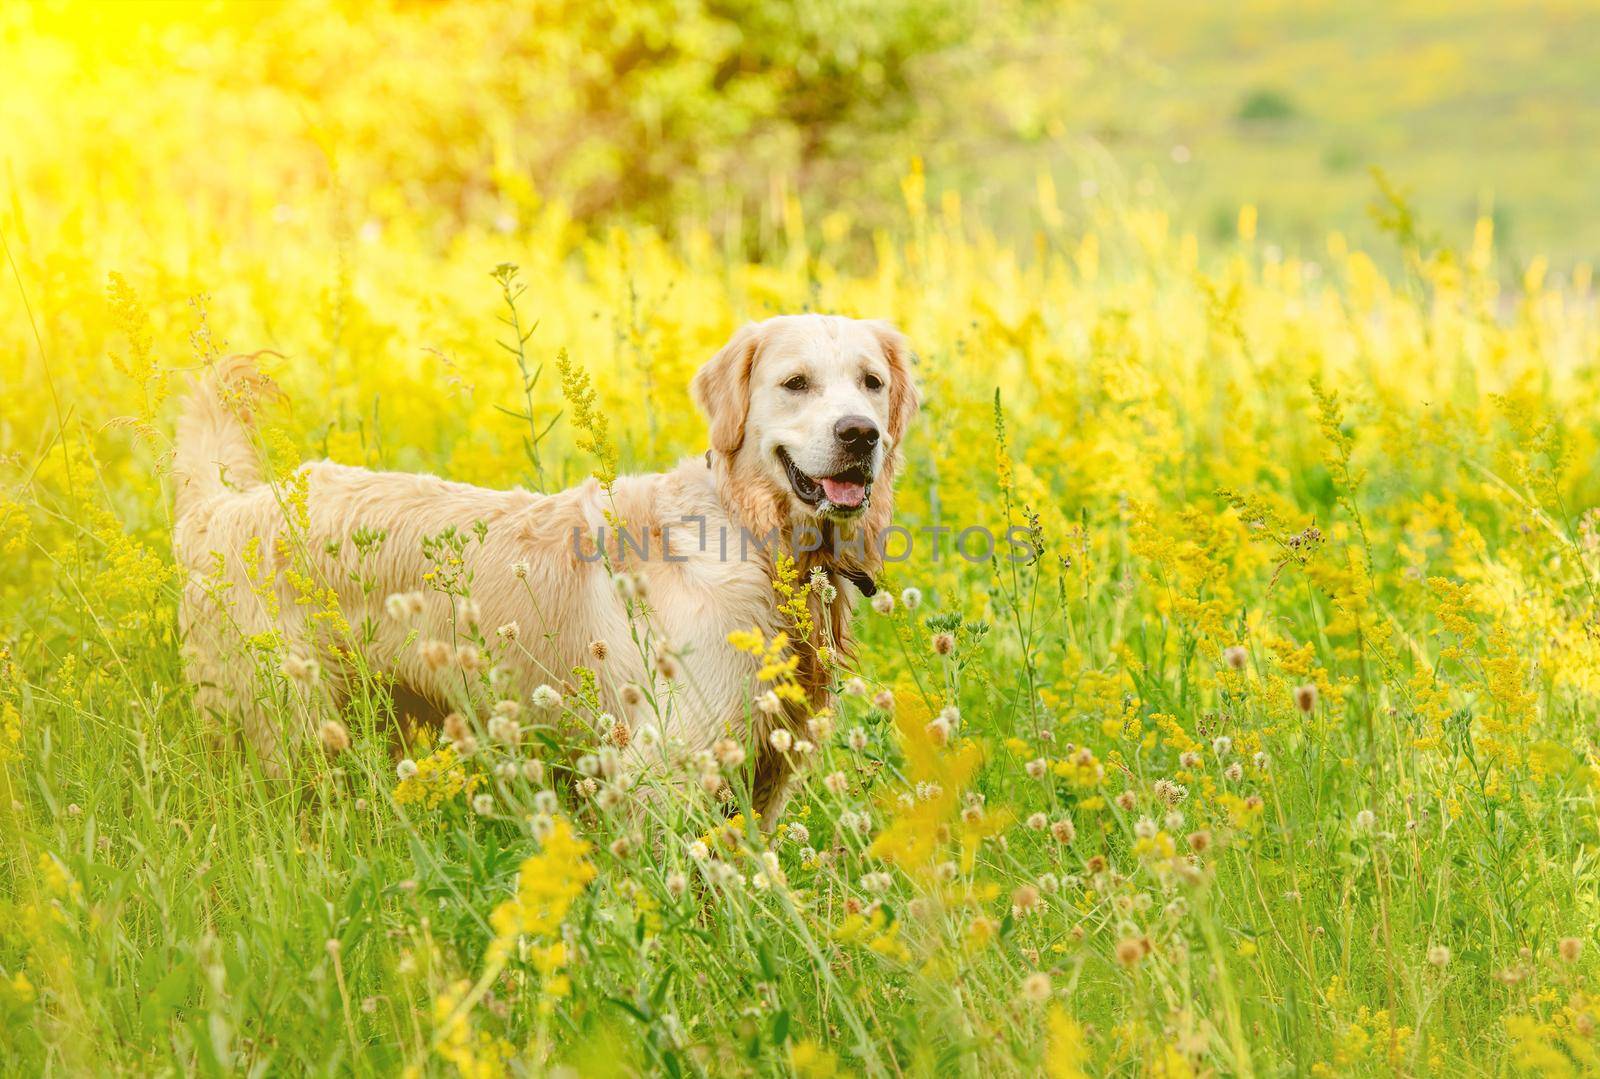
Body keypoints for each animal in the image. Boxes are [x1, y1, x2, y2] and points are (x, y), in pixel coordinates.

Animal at [172, 310, 915, 816]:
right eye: (796, 383)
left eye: (871, 383)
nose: (860, 434)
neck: (757, 542)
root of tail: (221, 508)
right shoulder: (664, 768)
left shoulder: (766, 770)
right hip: (290, 735)